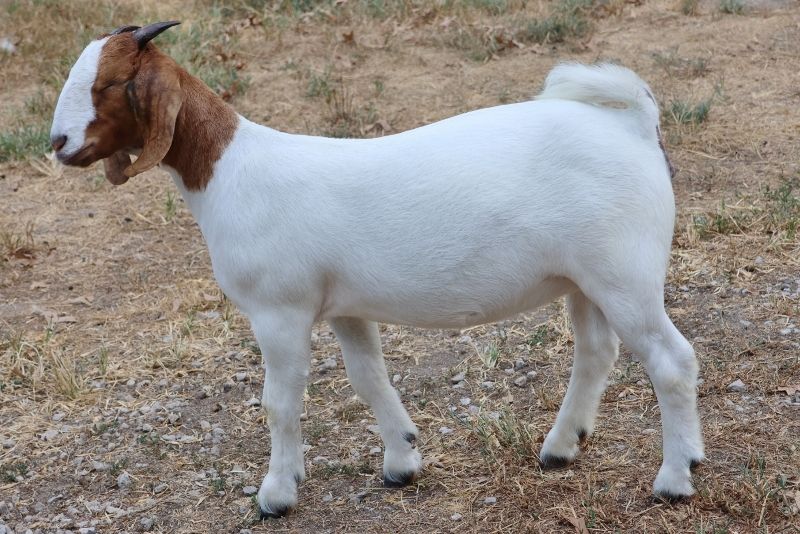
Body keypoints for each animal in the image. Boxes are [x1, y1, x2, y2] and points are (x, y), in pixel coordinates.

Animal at [51, 21, 704, 517]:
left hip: (625, 274)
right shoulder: (344, 308)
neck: (231, 169)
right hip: (585, 278)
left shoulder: (279, 312)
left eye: (110, 84)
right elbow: (368, 379)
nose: (57, 142)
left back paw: (674, 479)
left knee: (671, 361)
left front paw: (276, 495)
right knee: (596, 351)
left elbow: (279, 402)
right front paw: (401, 461)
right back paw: (562, 448)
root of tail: (631, 123)